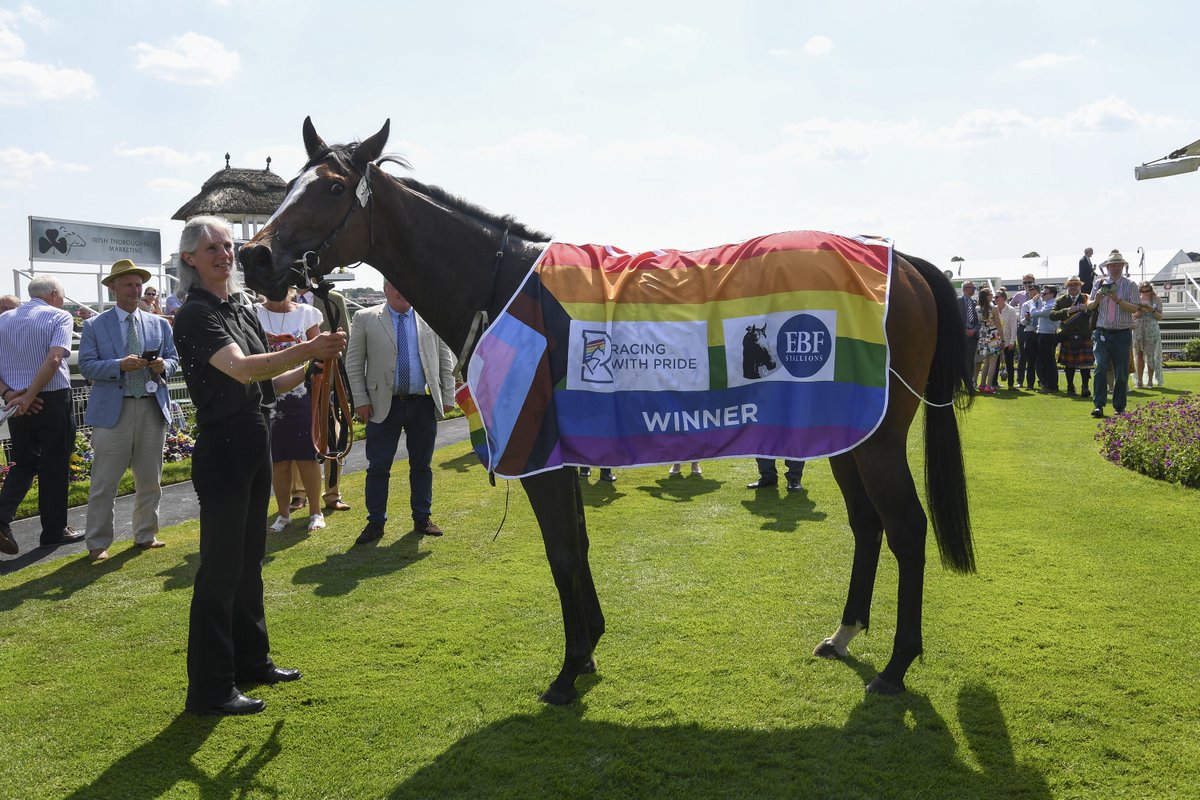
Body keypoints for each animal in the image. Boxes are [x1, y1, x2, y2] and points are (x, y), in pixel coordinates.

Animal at [236, 115, 974, 705]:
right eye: (289, 185)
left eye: (333, 187)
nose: (254, 255)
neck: (504, 287)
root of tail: (901, 260)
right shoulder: (564, 455)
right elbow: (579, 546)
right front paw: (588, 646)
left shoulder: (537, 453)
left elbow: (562, 551)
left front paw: (568, 672)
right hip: (848, 434)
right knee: (869, 526)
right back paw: (845, 634)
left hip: (879, 443)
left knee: (908, 529)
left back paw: (898, 666)